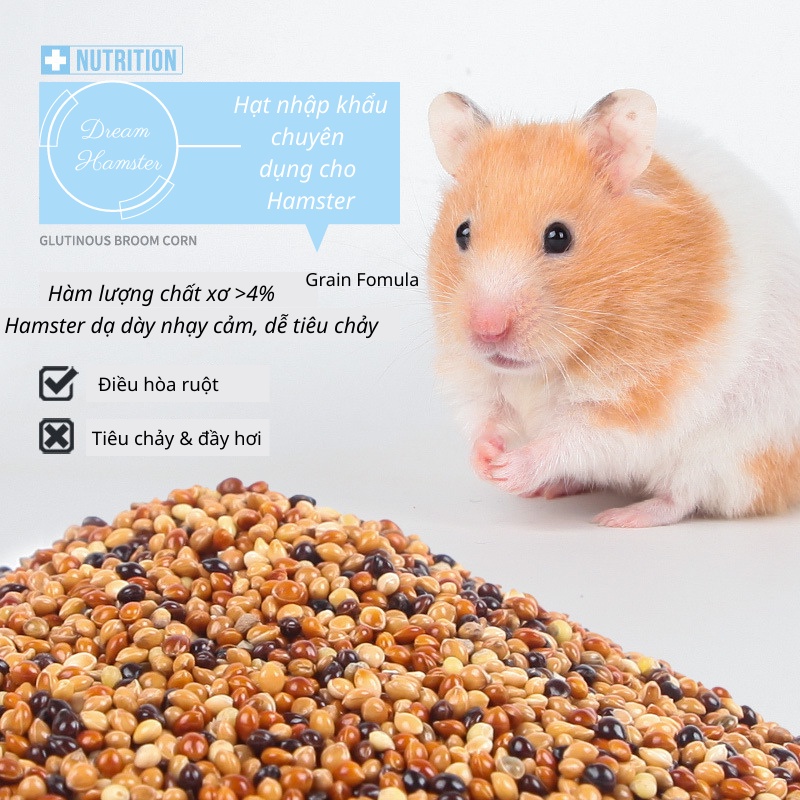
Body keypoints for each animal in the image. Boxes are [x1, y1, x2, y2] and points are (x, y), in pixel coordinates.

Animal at [427, 89, 800, 527]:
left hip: (731, 452)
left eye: (559, 237)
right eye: (462, 232)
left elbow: (574, 438)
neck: (547, 366)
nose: (486, 330)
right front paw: (485, 462)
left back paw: (620, 517)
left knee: (680, 497)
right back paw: (555, 489)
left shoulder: (641, 400)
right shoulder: (477, 381)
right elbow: (486, 417)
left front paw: (509, 472)